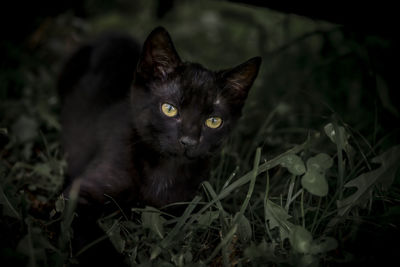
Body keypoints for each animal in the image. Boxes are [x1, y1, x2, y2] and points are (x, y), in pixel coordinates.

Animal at [58, 26, 260, 264]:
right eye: (169, 109)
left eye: (213, 121)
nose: (189, 141)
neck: (165, 170)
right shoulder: (78, 195)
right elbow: (94, 240)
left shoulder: (192, 203)